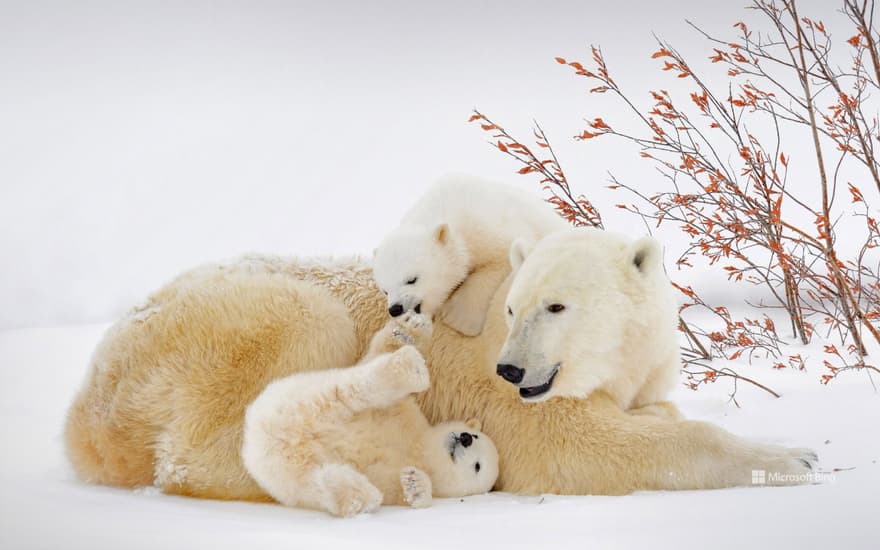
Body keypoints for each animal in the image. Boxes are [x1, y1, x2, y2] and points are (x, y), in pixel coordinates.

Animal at [241, 316, 498, 520]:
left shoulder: (392, 476)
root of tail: (260, 435)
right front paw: (411, 328)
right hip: (301, 396)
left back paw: (360, 497)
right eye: (474, 435)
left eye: (477, 466)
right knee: (355, 389)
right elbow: (380, 354)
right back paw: (410, 368)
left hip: (286, 469)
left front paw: (415, 484)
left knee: (316, 479)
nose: (465, 438)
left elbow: (407, 489)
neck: (419, 447)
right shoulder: (405, 414)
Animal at [372, 176, 568, 336]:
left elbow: (500, 260)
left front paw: (458, 318)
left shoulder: (488, 228)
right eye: (385, 289)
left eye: (412, 279)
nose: (395, 309)